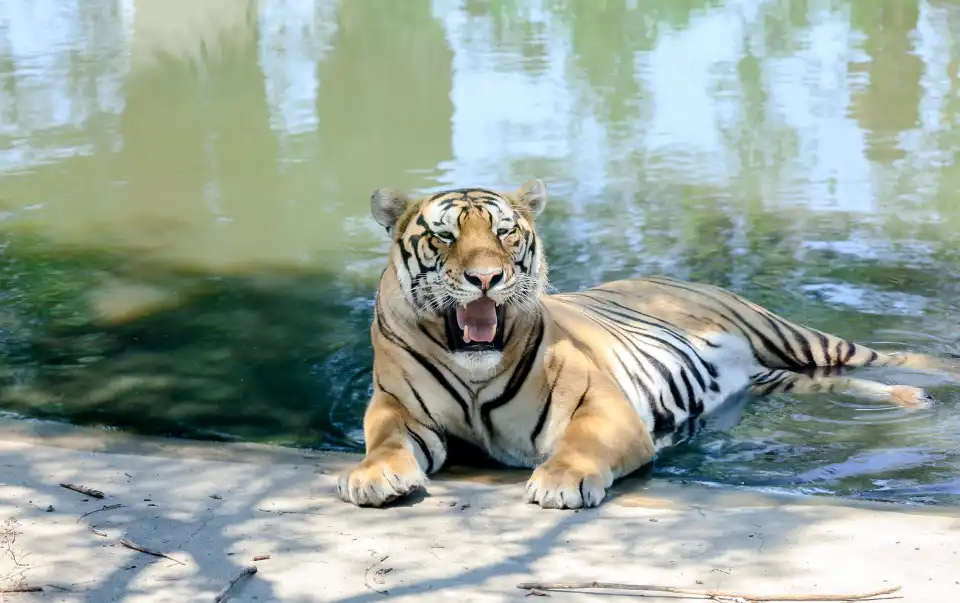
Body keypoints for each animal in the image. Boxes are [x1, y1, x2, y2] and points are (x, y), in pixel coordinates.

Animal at [336, 178, 960, 510]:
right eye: (444, 236)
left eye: (505, 232)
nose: (486, 278)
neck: (474, 369)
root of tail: (680, 277)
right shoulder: (397, 406)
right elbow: (386, 439)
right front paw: (373, 476)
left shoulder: (602, 406)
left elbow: (580, 443)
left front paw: (560, 482)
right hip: (777, 378)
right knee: (848, 383)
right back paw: (913, 400)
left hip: (795, 339)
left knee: (890, 358)